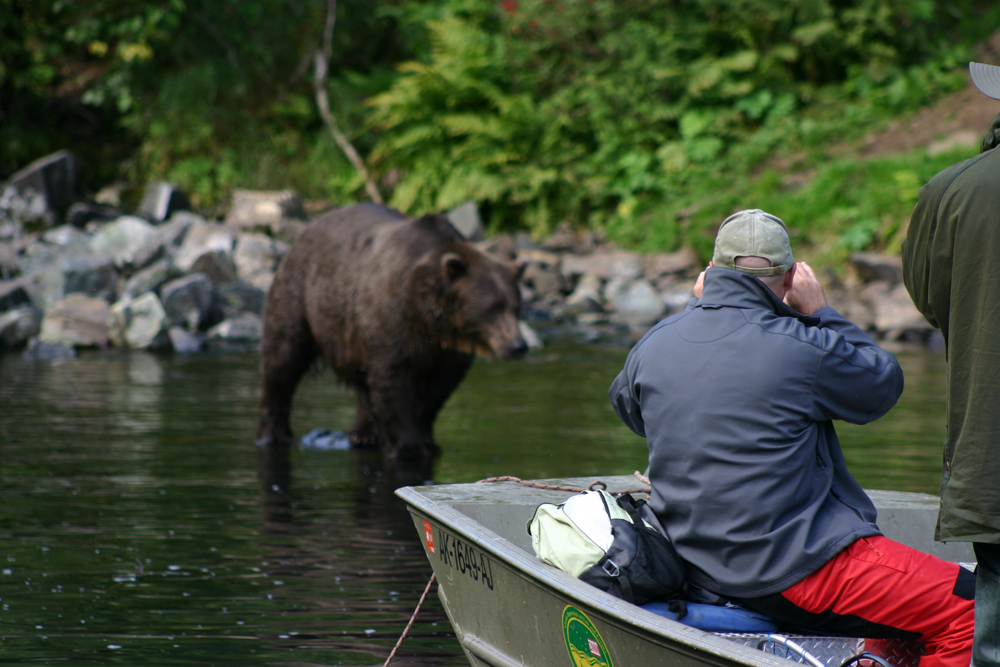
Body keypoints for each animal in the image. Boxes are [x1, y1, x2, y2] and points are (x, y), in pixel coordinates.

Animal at [254, 204, 528, 464]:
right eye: (491, 308)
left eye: (516, 306)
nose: (518, 345)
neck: (426, 314)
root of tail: (307, 230)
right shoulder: (391, 322)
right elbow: (393, 379)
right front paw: (410, 446)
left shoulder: (447, 347)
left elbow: (438, 387)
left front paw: (426, 439)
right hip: (303, 296)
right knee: (283, 357)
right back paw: (276, 436)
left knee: (363, 381)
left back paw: (364, 435)